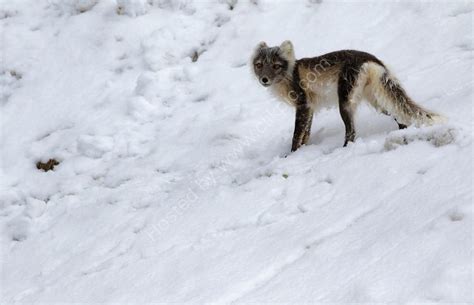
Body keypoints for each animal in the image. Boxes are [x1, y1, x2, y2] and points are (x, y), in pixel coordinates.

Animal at [252, 39, 444, 151]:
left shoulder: (303, 104)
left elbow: (296, 136)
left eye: (276, 66)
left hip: (344, 103)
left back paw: (343, 151)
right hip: (377, 101)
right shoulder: (310, 108)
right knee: (400, 117)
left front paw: (291, 156)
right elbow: (305, 134)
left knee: (351, 132)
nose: (264, 79)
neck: (289, 74)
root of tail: (372, 59)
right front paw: (302, 152)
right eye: (259, 65)